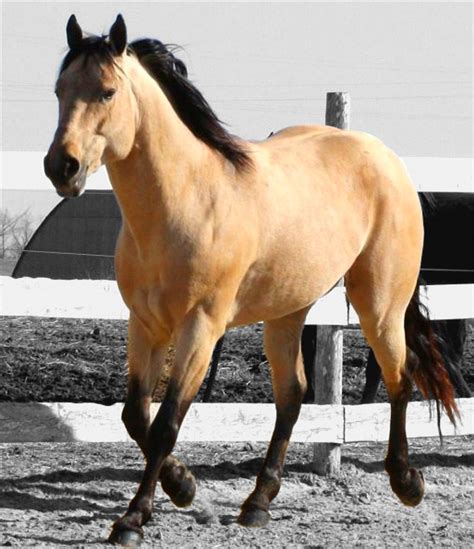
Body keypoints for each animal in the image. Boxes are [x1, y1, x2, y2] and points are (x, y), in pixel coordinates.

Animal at [44, 16, 460, 544]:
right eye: (59, 90)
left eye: (107, 92)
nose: (62, 167)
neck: (185, 201)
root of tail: (385, 156)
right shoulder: (144, 324)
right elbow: (136, 416)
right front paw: (183, 485)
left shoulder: (201, 328)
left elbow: (165, 423)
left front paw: (133, 520)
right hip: (288, 311)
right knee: (292, 395)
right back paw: (258, 502)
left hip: (379, 302)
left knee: (399, 379)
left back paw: (407, 482)